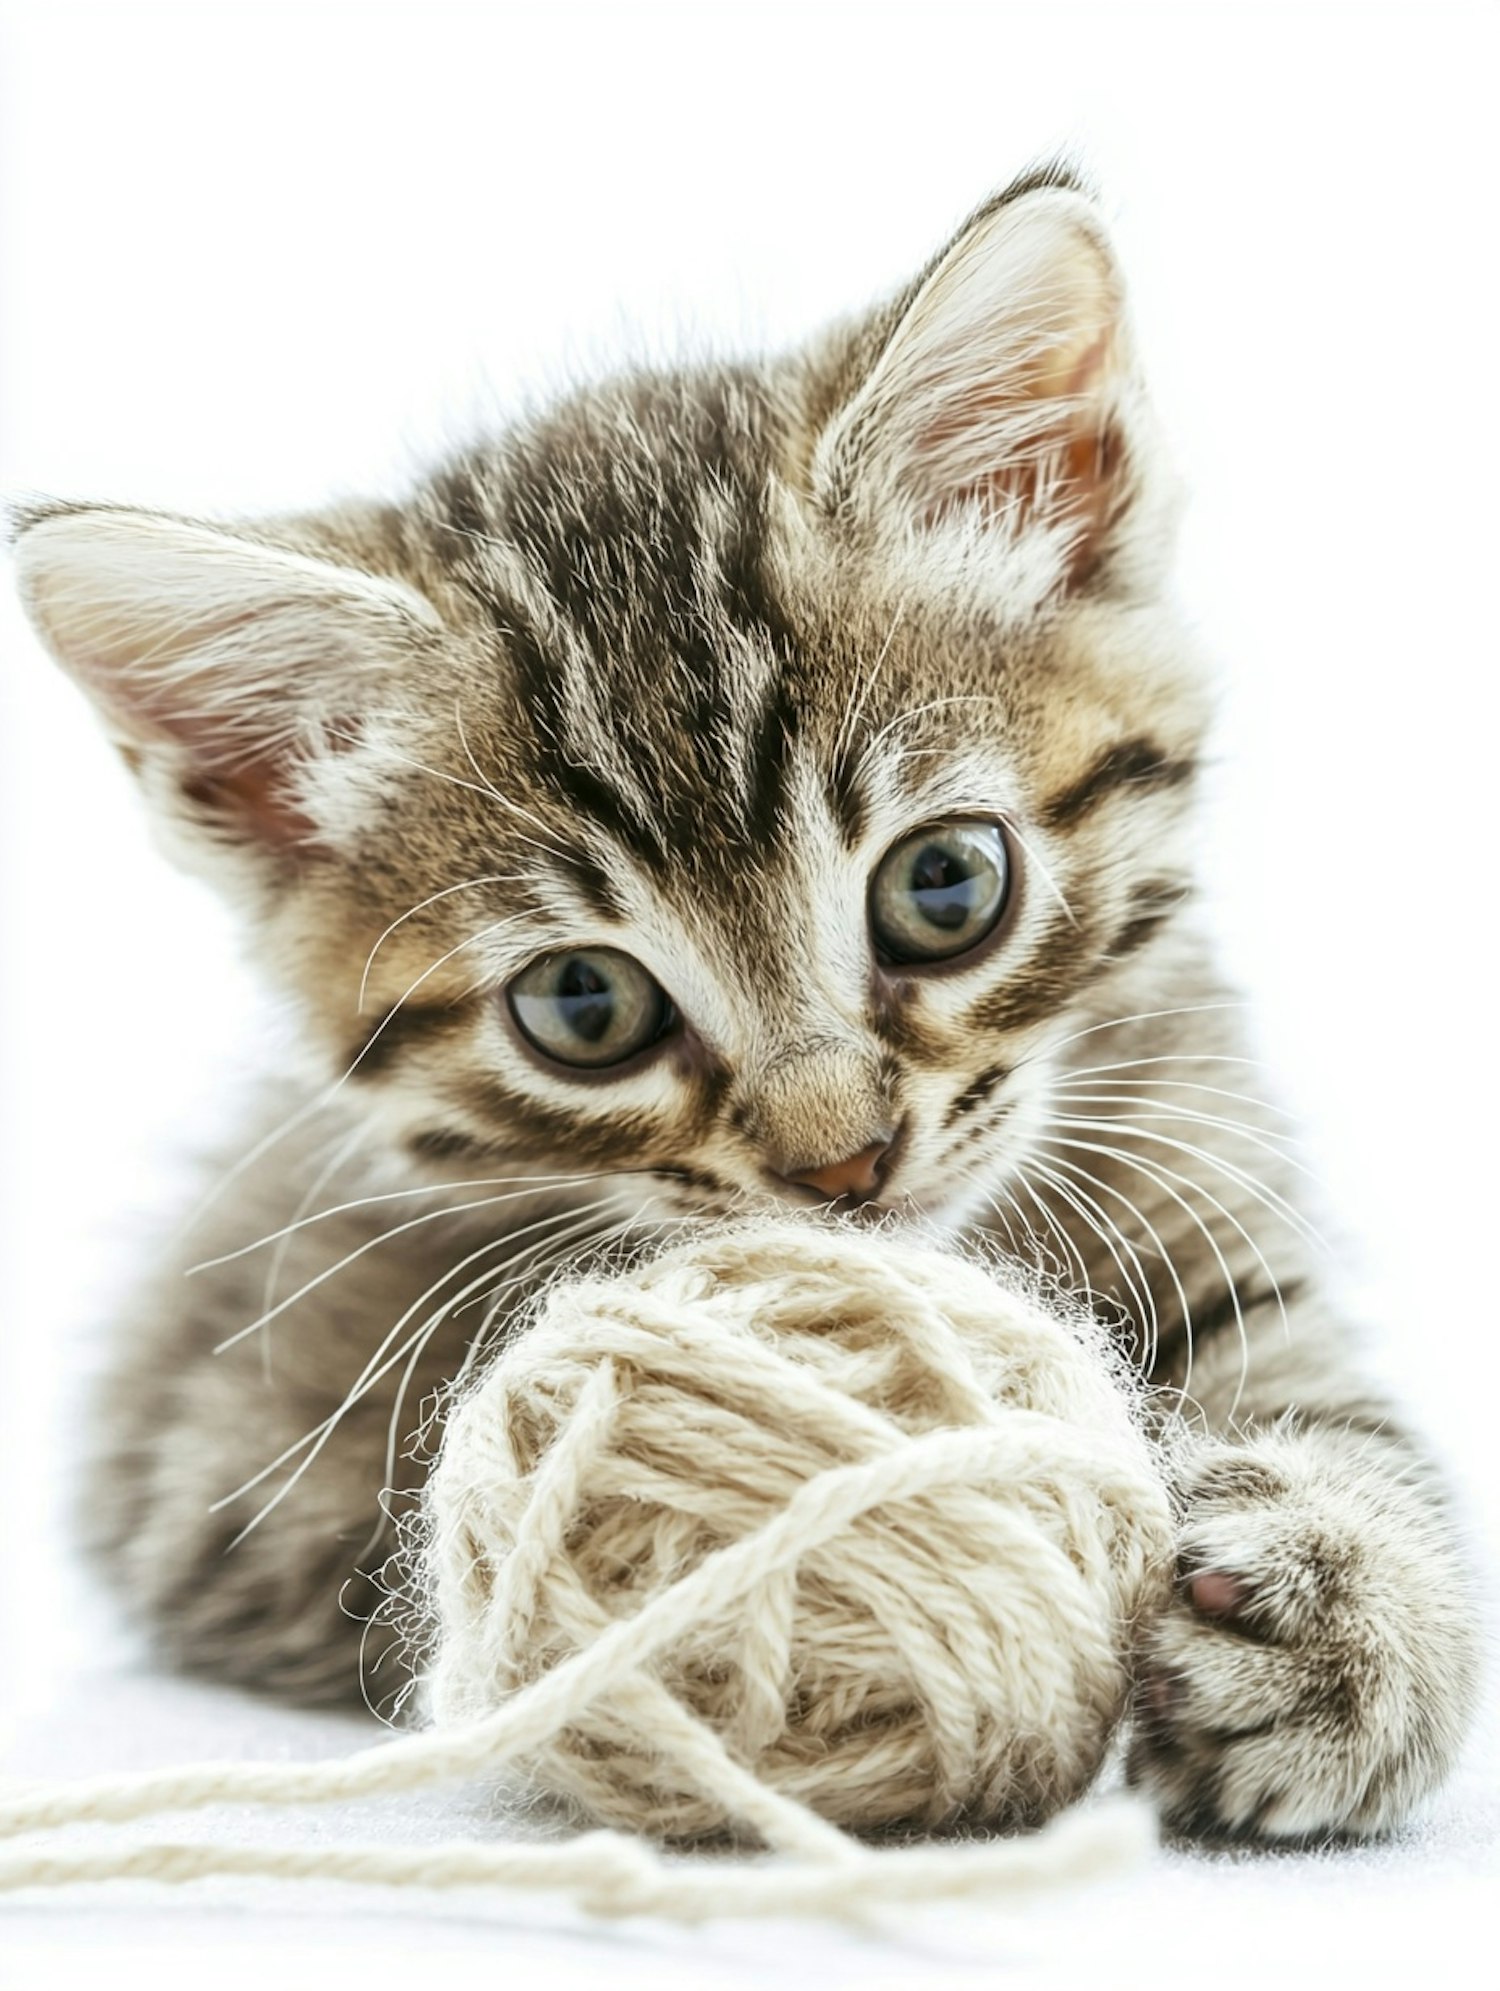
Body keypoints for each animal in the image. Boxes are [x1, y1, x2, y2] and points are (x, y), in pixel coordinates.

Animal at [11, 167, 1482, 1831]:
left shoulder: (1201, 1129)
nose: (843, 1162)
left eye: (946, 885)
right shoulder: (225, 1459)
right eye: (583, 1005)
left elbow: (1320, 1384)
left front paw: (1348, 1594)